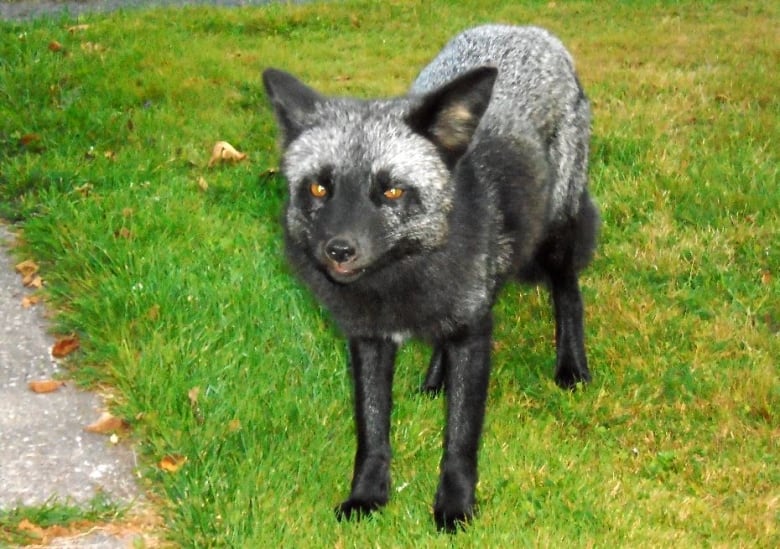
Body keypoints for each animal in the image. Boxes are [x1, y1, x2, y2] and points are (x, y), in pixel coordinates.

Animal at [262, 22, 596, 532]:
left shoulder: (473, 334)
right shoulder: (369, 339)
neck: (401, 277)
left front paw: (456, 507)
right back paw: (436, 380)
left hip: (556, 231)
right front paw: (367, 496)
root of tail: (527, 29)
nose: (338, 249)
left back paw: (572, 367)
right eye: (319, 187)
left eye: (391, 191)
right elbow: (372, 431)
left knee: (568, 294)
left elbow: (460, 439)